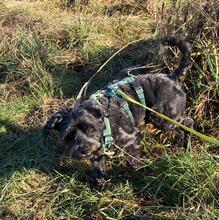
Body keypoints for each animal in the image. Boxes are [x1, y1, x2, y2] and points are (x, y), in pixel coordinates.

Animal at [44, 35, 193, 186]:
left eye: (90, 128)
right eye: (69, 135)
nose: (84, 150)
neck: (103, 121)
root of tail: (172, 77)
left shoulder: (130, 139)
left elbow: (133, 161)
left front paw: (137, 175)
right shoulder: (97, 150)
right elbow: (98, 167)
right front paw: (100, 184)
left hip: (163, 119)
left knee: (188, 123)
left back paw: (187, 146)